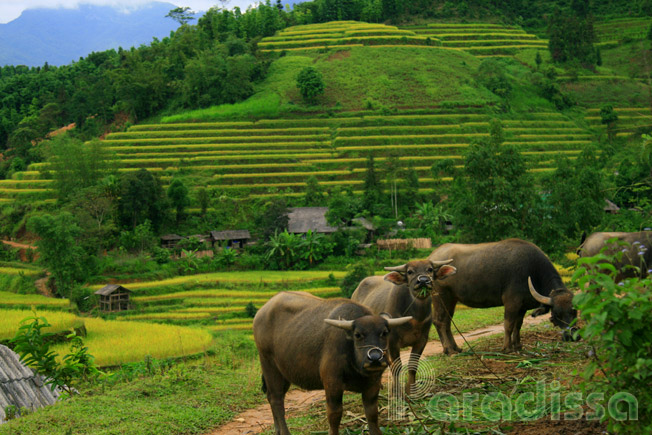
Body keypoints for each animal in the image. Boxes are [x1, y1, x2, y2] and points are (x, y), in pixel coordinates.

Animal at [252, 292, 410, 434]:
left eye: (384, 333)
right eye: (358, 335)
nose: (375, 358)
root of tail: (261, 313)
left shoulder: (373, 383)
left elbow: (372, 413)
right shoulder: (332, 383)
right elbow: (334, 414)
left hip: (284, 372)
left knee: (272, 397)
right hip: (269, 365)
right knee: (276, 399)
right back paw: (284, 431)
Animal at [352, 260, 454, 394]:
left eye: (430, 269)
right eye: (410, 272)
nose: (423, 281)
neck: (414, 319)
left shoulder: (422, 340)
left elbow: (413, 365)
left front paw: (411, 390)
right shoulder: (392, 341)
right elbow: (396, 365)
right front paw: (396, 391)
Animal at [430, 240, 580, 356]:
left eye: (574, 311)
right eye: (557, 314)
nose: (573, 336)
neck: (532, 270)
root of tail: (432, 259)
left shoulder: (522, 306)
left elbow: (518, 325)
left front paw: (517, 345)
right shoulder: (511, 302)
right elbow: (508, 324)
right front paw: (507, 348)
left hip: (451, 300)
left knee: (447, 322)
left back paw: (456, 348)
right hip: (441, 297)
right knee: (439, 321)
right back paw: (449, 350)